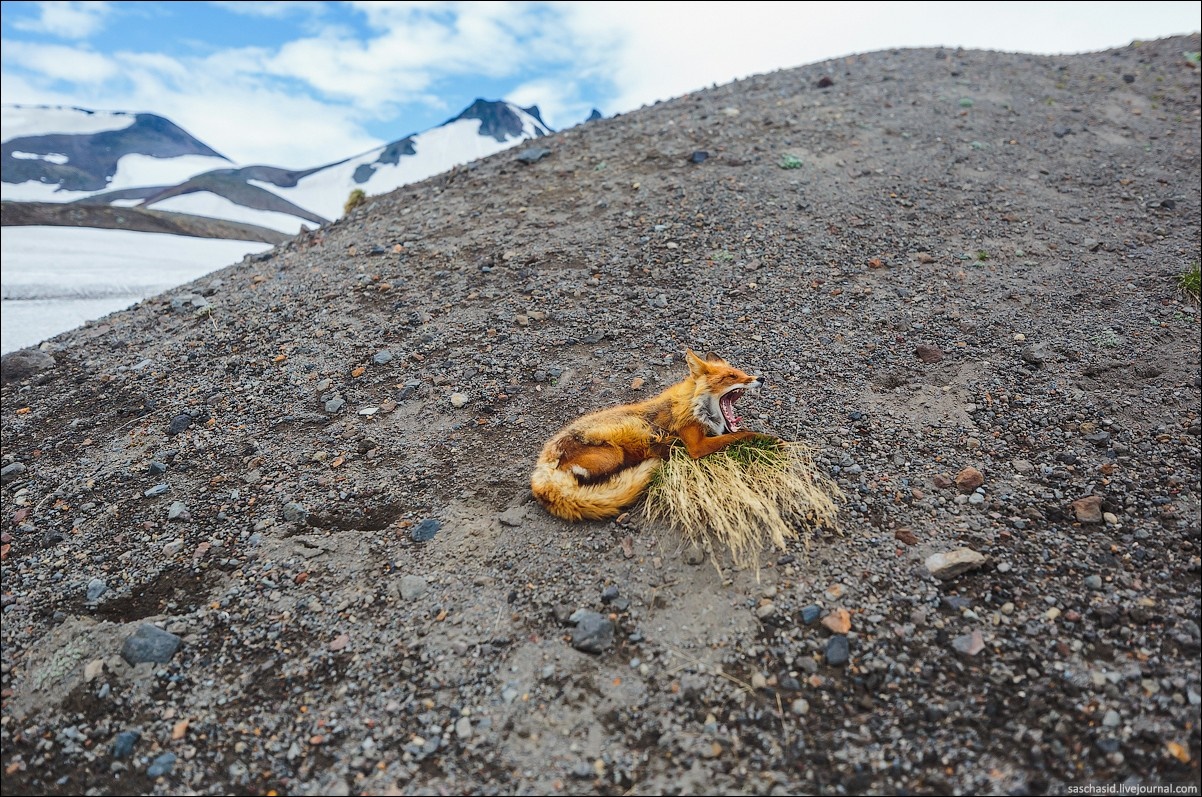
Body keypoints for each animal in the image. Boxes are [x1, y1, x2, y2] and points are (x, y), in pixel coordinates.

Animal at [530, 349, 774, 521]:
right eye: (732, 376)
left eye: (742, 372)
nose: (761, 378)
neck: (694, 404)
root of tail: (542, 466)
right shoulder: (695, 444)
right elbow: (742, 436)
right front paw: (771, 440)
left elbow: (736, 433)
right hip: (612, 455)